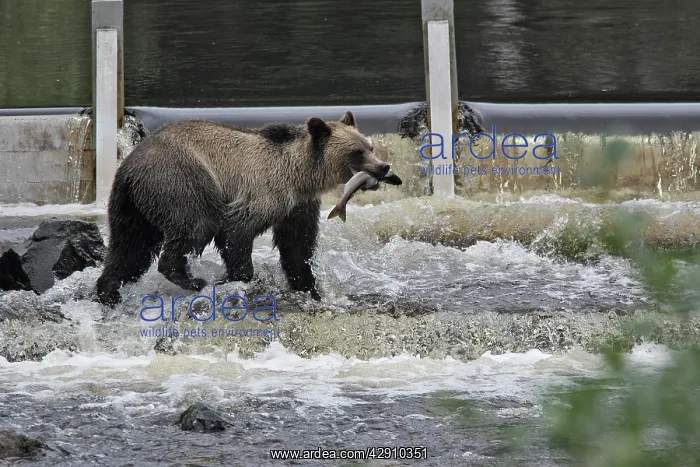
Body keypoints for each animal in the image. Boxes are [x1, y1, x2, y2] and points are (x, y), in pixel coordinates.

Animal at [94, 111, 390, 307]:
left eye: (370, 146)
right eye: (357, 151)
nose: (384, 166)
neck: (300, 175)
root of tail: (129, 166)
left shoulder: (298, 206)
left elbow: (297, 246)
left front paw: (309, 287)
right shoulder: (264, 191)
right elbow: (235, 231)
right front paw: (237, 277)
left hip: (131, 205)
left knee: (130, 248)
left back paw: (108, 291)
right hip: (180, 179)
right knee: (197, 224)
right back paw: (191, 279)